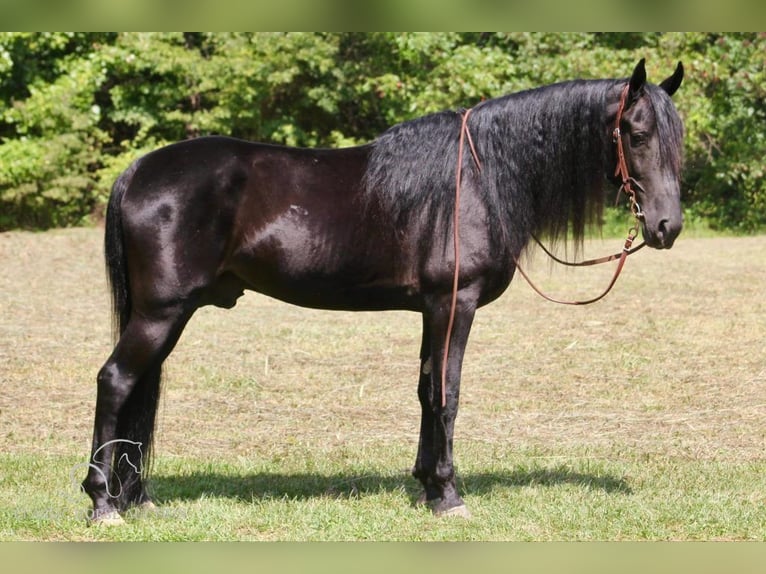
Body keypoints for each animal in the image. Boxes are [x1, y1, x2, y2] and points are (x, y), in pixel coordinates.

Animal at [82, 59, 684, 528]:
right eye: (636, 134)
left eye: (674, 139)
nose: (666, 227)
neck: (479, 178)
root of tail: (137, 171)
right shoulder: (454, 304)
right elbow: (447, 394)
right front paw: (449, 495)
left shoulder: (430, 309)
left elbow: (425, 390)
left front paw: (425, 485)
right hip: (161, 313)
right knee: (116, 382)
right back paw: (103, 502)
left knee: (137, 389)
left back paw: (134, 497)